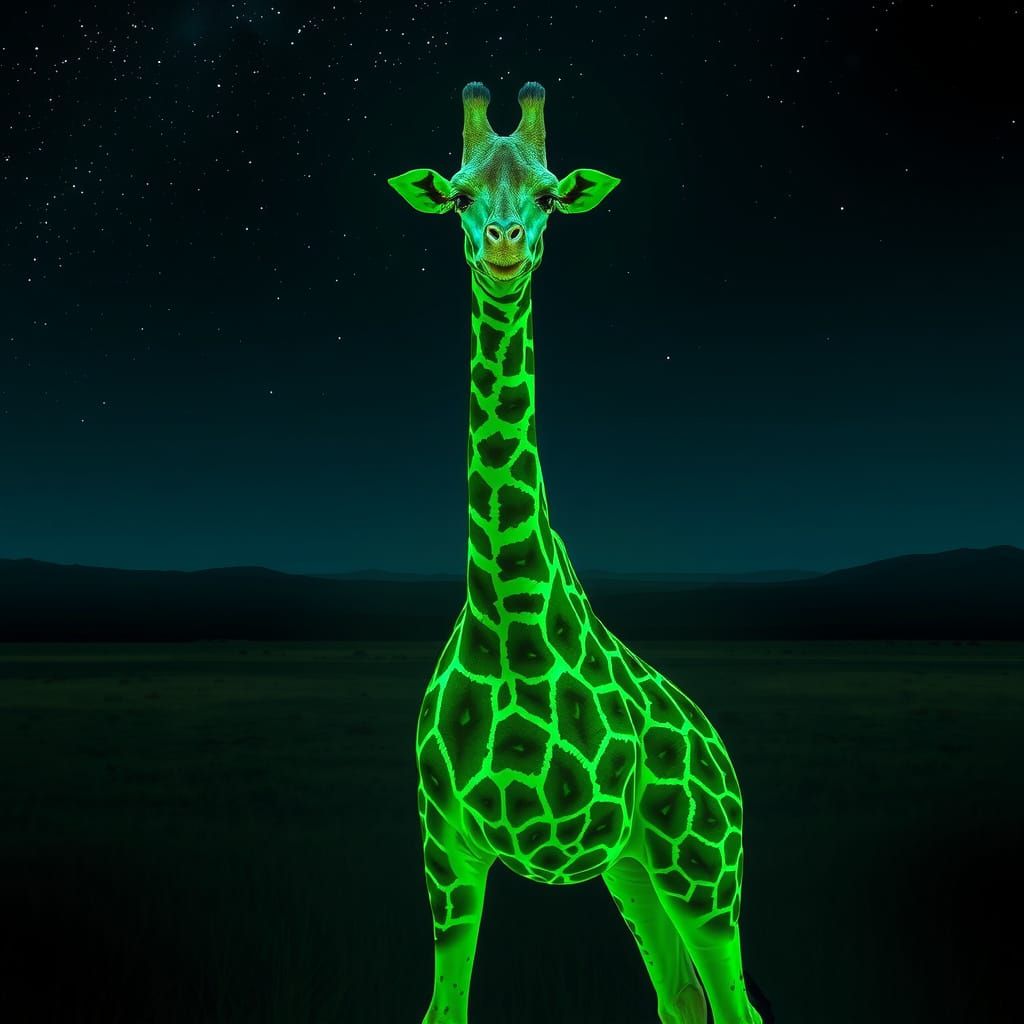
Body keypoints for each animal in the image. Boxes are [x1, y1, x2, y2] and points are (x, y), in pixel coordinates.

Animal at [388, 82, 764, 1024]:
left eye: (553, 196)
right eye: (456, 195)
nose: (503, 246)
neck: (512, 618)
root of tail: (724, 758)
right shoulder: (446, 851)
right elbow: (443, 1008)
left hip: (703, 868)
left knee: (736, 1003)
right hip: (633, 868)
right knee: (681, 1000)